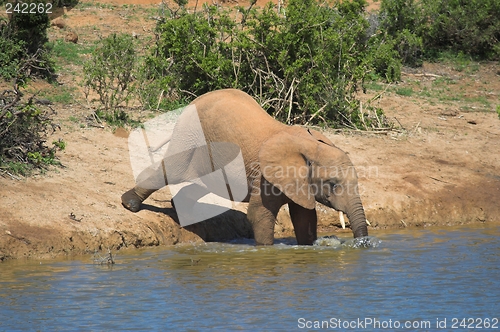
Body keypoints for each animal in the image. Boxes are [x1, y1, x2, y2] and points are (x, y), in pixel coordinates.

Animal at [122, 89, 370, 245]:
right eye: (332, 184)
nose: (363, 244)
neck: (311, 146)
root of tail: (194, 101)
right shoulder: (266, 177)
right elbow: (259, 215)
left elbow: (305, 218)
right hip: (189, 135)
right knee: (171, 170)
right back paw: (129, 204)